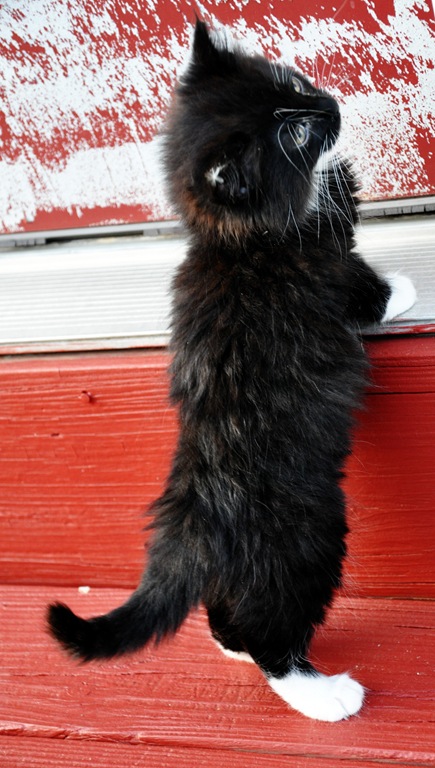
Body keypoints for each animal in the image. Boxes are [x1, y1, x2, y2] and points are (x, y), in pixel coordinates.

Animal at [47, 19, 416, 722]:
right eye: (294, 135)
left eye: (295, 86)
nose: (331, 106)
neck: (238, 239)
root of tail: (199, 504)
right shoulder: (330, 274)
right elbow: (371, 292)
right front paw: (408, 284)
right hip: (308, 538)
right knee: (277, 630)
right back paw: (320, 692)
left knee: (231, 609)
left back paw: (233, 644)